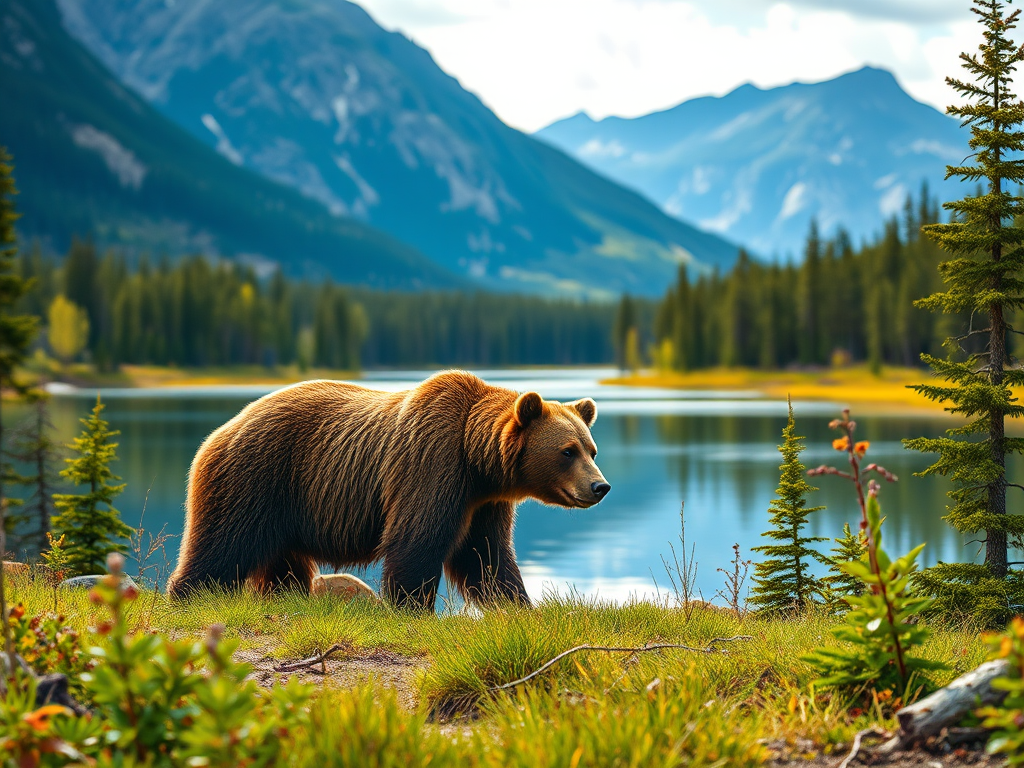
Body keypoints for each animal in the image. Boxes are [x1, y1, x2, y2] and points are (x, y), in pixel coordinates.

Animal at [166, 371, 610, 610]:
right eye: (567, 451)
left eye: (591, 448)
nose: (599, 486)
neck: (477, 461)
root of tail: (217, 433)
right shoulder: (431, 466)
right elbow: (417, 542)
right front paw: (411, 608)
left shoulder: (484, 502)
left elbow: (487, 557)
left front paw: (517, 606)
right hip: (255, 478)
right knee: (223, 545)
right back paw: (188, 596)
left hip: (287, 510)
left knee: (283, 567)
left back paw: (285, 598)